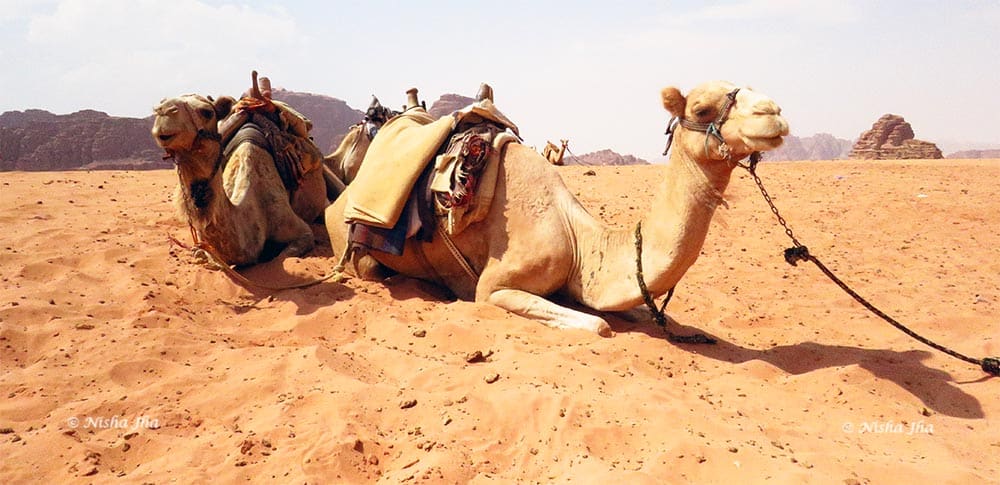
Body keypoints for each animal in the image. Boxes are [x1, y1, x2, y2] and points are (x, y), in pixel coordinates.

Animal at [152, 93, 330, 266]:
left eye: (207, 112)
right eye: (159, 106)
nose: (163, 110)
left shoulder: (300, 230)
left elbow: (282, 257)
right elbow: (207, 257)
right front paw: (201, 255)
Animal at [326, 80, 788, 336]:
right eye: (702, 108)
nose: (774, 113)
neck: (578, 240)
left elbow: (637, 311)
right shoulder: (493, 287)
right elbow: (599, 325)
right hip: (354, 247)